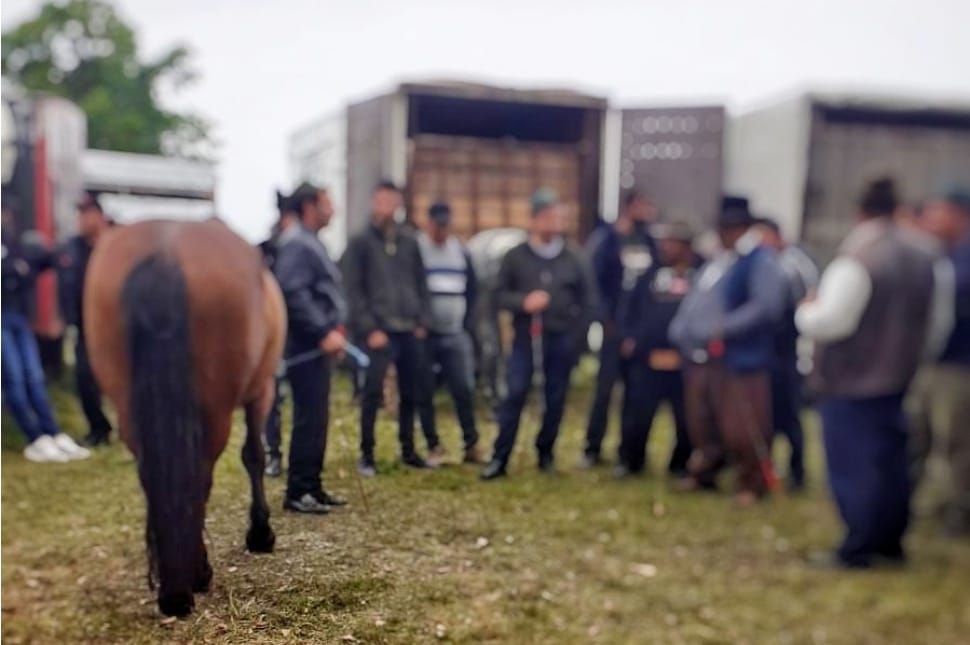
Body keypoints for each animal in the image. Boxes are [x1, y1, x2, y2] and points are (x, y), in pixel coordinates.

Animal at [83, 218, 286, 617]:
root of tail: (164, 253)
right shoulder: (261, 391)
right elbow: (254, 456)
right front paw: (260, 533)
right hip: (216, 412)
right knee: (200, 476)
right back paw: (195, 575)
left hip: (131, 410)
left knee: (155, 476)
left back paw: (175, 584)